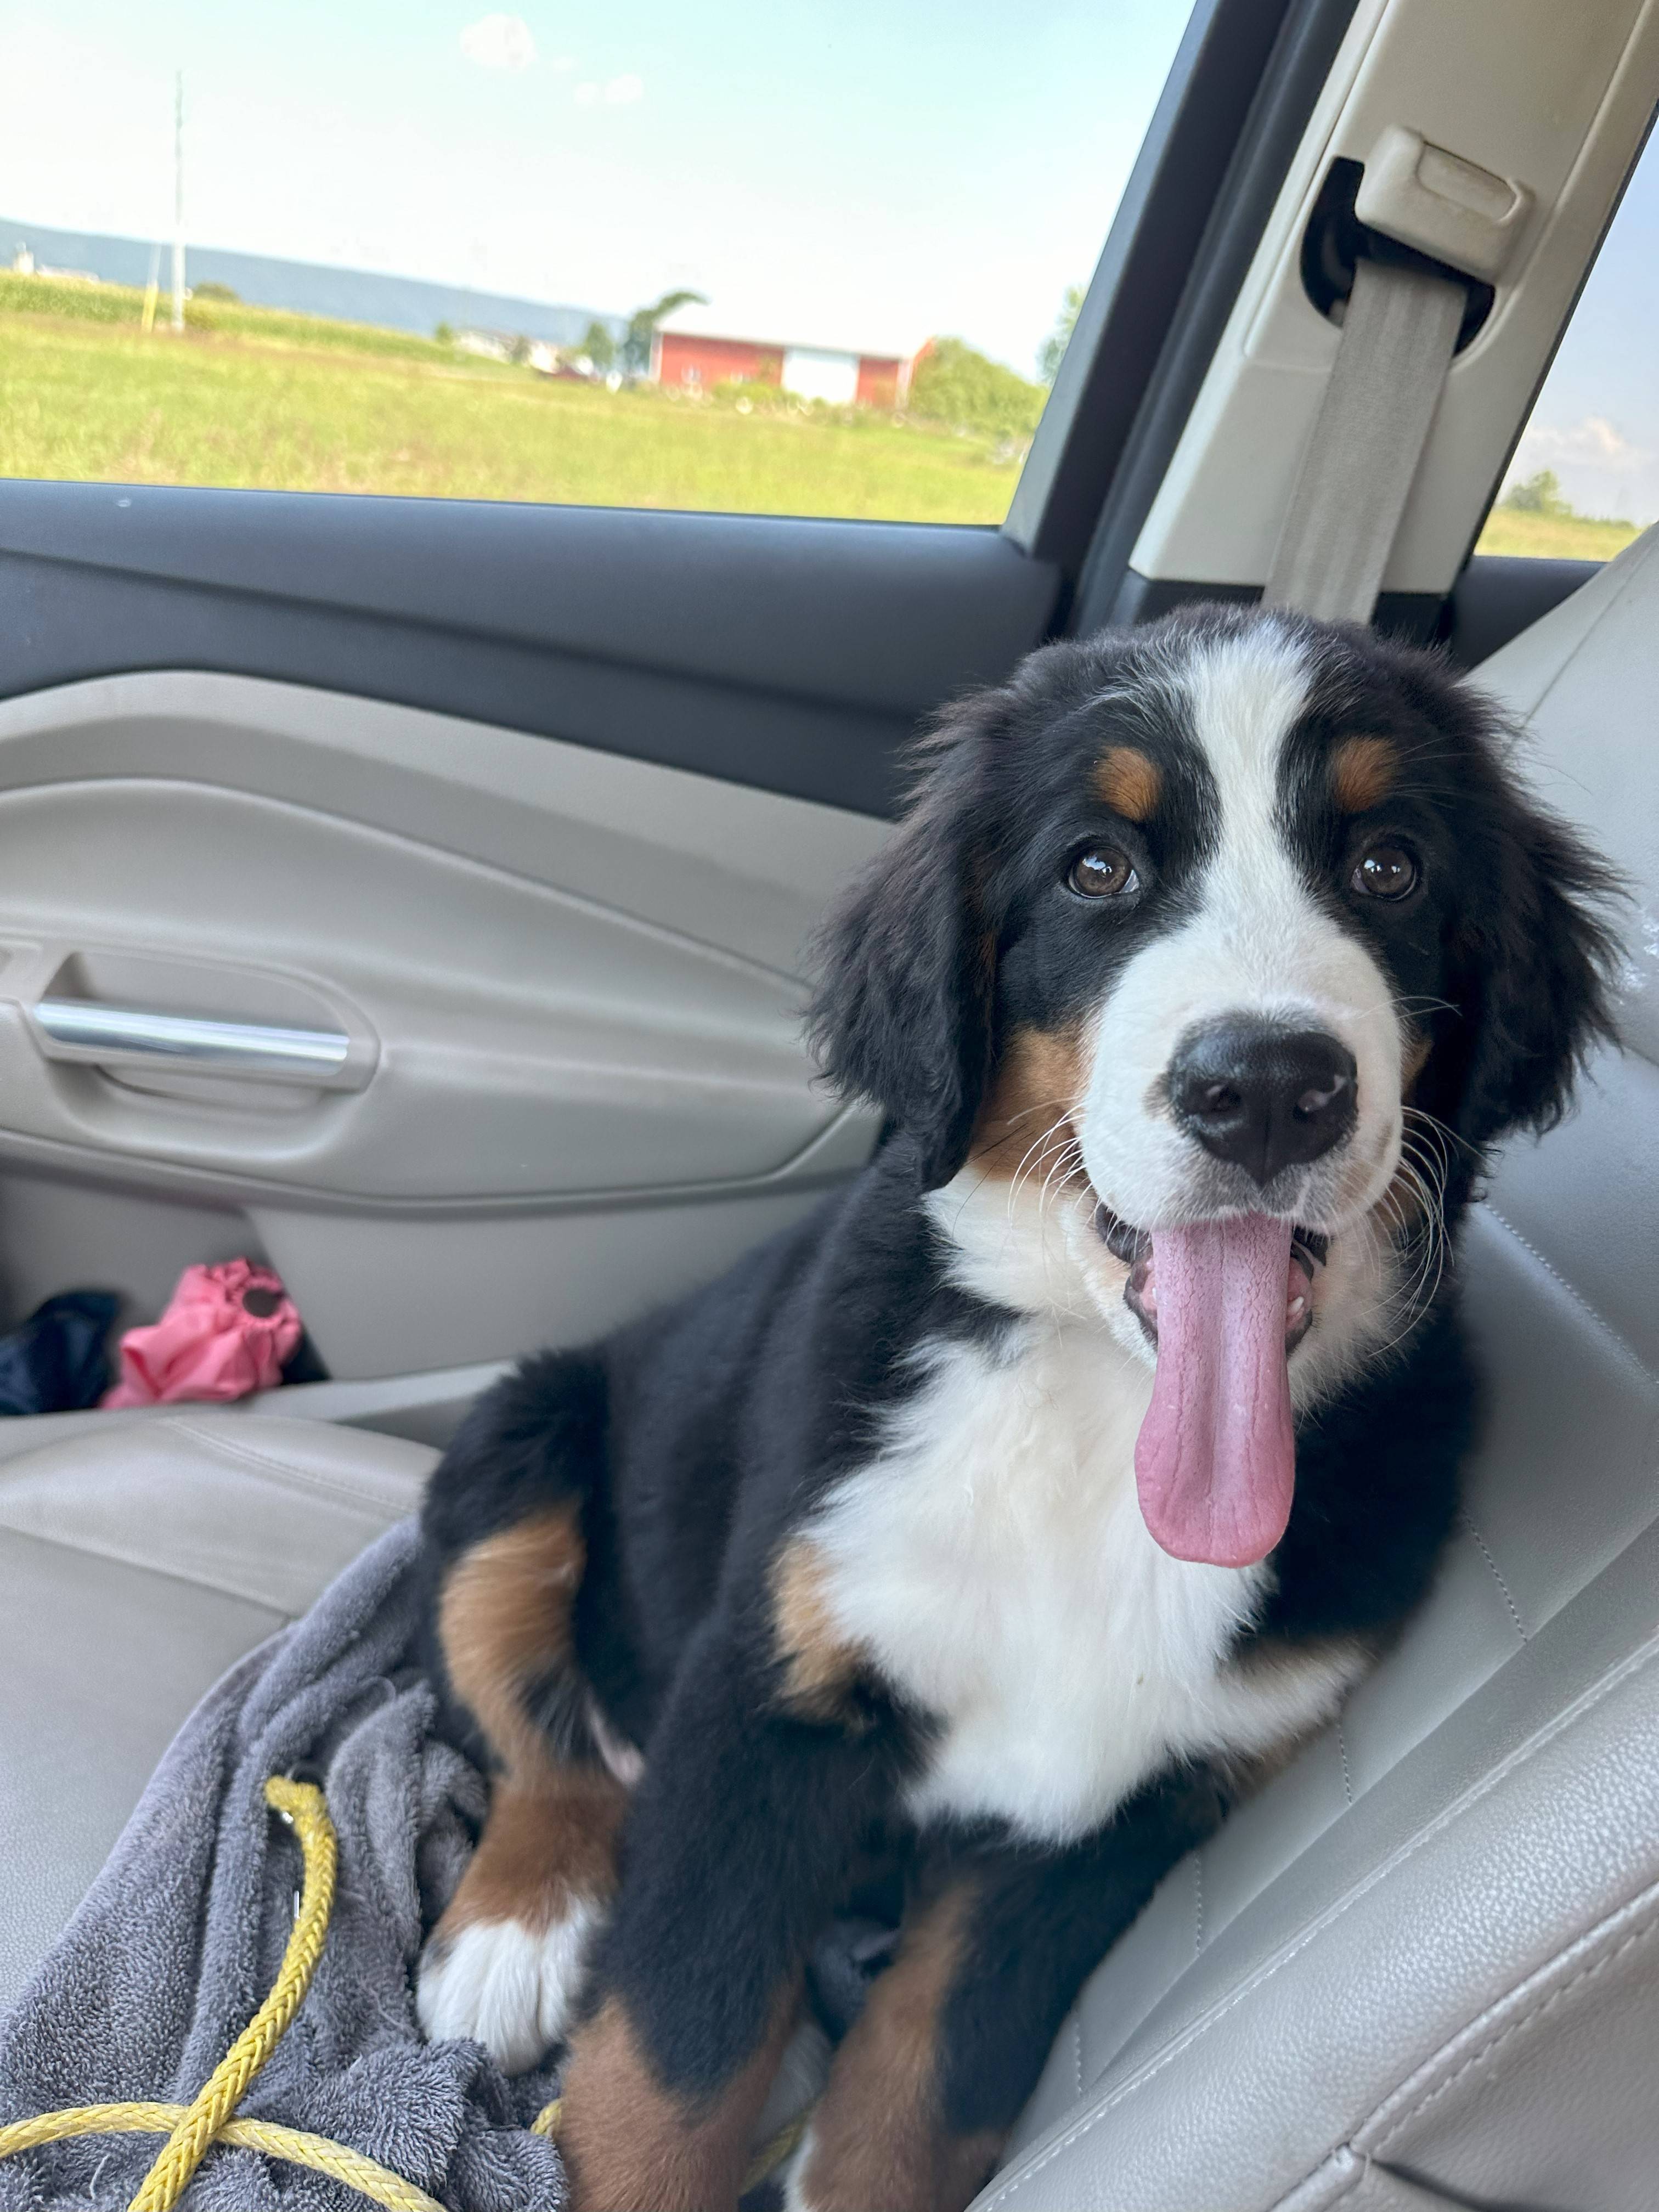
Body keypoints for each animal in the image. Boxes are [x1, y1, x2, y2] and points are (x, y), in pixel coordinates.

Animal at [418, 606, 1628, 2212]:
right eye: (1096, 869)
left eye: (1390, 868)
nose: (1268, 1088)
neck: (1100, 1414)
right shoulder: (766, 1697)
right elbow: (669, 2063)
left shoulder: (1104, 1813)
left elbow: (927, 2080)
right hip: (519, 1446)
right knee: (538, 1724)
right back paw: (511, 1936)